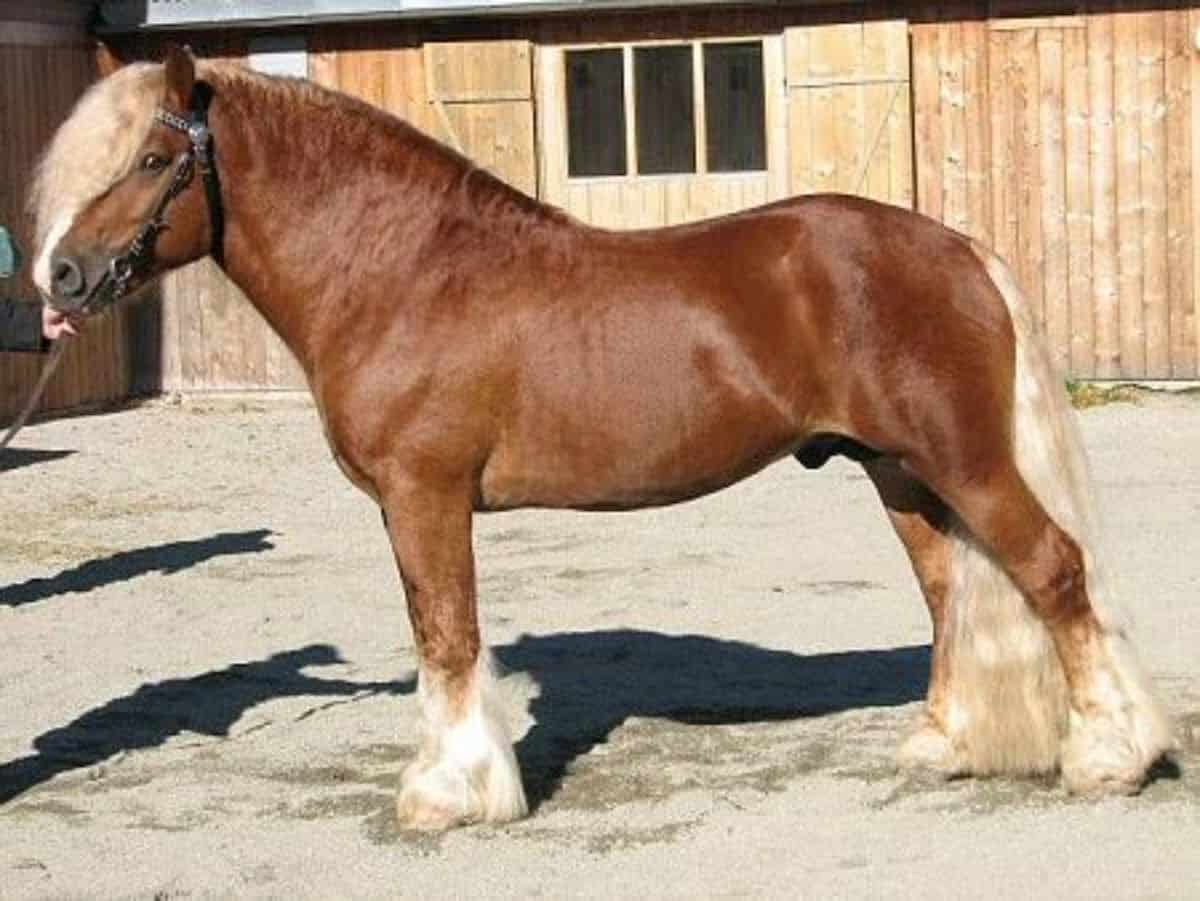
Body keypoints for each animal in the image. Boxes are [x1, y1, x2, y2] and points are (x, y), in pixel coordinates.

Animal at [28, 45, 1171, 830]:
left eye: (154, 156)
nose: (61, 280)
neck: (401, 269)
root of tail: (957, 247)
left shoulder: (424, 496)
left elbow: (446, 637)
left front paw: (451, 795)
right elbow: (438, 636)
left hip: (963, 462)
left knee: (1052, 572)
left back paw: (1111, 758)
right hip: (902, 475)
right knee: (952, 596)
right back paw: (942, 745)